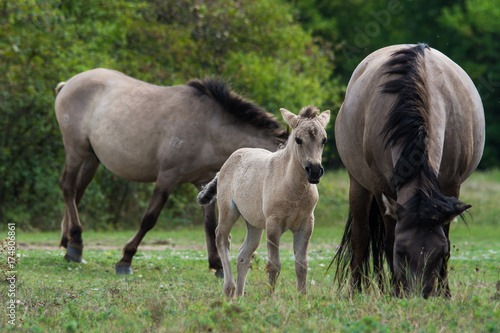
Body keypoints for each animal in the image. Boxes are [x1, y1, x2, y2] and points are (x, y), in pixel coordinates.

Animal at [54, 68, 288, 274]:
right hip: (76, 149)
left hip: (92, 157)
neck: (208, 128)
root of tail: (68, 84)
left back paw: (69, 243)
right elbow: (149, 218)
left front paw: (217, 265)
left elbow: (209, 223)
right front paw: (125, 259)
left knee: (77, 192)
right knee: (67, 186)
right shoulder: (168, 177)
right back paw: (76, 244)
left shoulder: (203, 181)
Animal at [197, 105, 330, 296]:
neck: (294, 189)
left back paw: (239, 297)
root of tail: (225, 164)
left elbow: (302, 264)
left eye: (324, 140)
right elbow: (274, 264)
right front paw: (270, 298)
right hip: (228, 212)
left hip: (254, 224)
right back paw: (229, 289)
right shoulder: (273, 224)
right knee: (222, 238)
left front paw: (302, 297)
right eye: (298, 140)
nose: (314, 171)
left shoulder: (306, 225)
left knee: (243, 255)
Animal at [332, 43, 484, 296]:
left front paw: (444, 293)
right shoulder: (381, 186)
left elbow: (447, 235)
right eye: (401, 252)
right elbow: (388, 238)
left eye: (439, 253)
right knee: (361, 236)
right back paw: (356, 291)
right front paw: (395, 291)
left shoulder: (451, 185)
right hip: (358, 184)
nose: (418, 295)